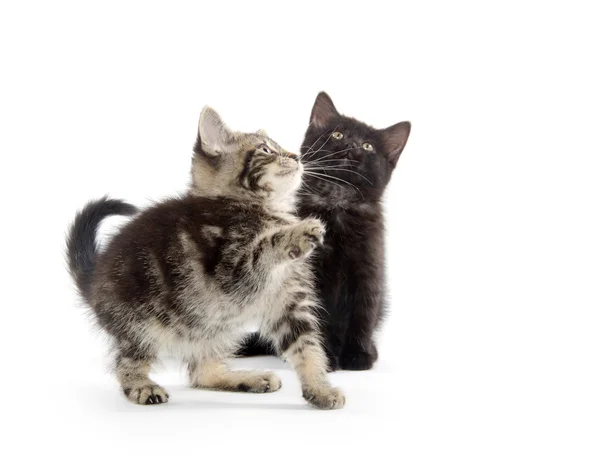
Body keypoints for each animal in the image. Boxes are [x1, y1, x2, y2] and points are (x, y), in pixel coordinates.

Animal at [64, 107, 346, 408]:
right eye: (266, 149)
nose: (296, 156)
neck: (261, 208)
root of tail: (93, 279)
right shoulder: (232, 274)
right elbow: (263, 248)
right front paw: (299, 232)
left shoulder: (289, 301)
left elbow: (307, 347)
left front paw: (320, 390)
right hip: (139, 322)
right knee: (126, 362)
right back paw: (142, 386)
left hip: (213, 328)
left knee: (202, 373)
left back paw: (248, 379)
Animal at [240, 92, 412, 370]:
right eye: (338, 135)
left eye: (368, 147)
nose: (352, 145)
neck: (337, 201)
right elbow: (318, 317)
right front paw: (326, 357)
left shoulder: (369, 270)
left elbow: (363, 314)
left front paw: (358, 355)